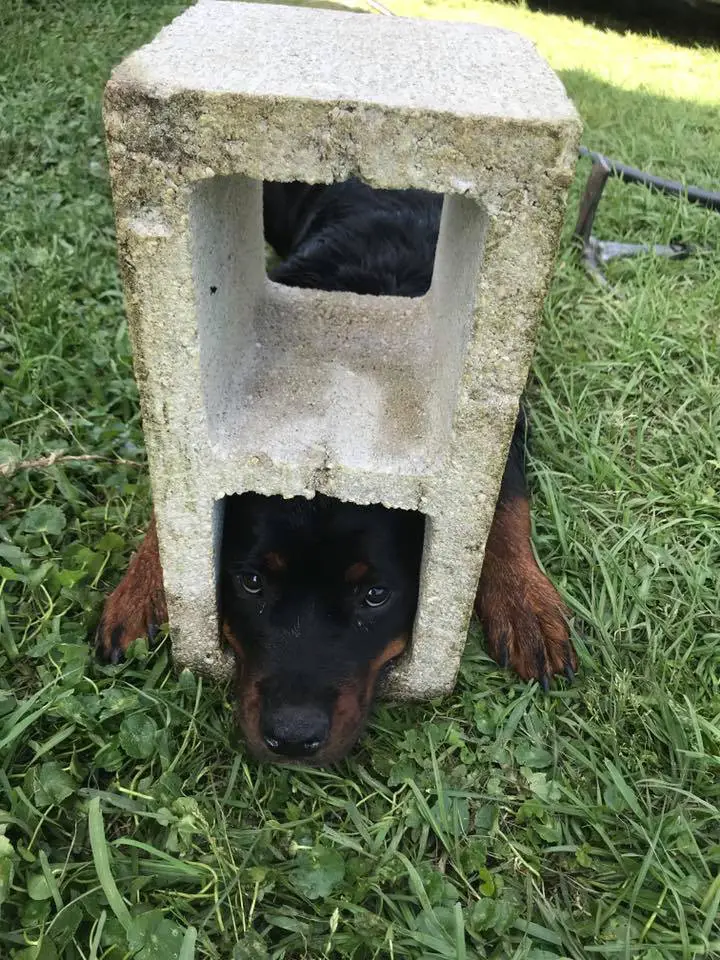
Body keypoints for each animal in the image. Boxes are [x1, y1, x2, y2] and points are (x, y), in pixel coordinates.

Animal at [95, 178, 572, 764]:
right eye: (252, 583)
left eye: (375, 596)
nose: (292, 737)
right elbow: (171, 503)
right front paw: (142, 585)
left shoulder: (499, 419)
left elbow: (506, 503)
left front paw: (526, 601)